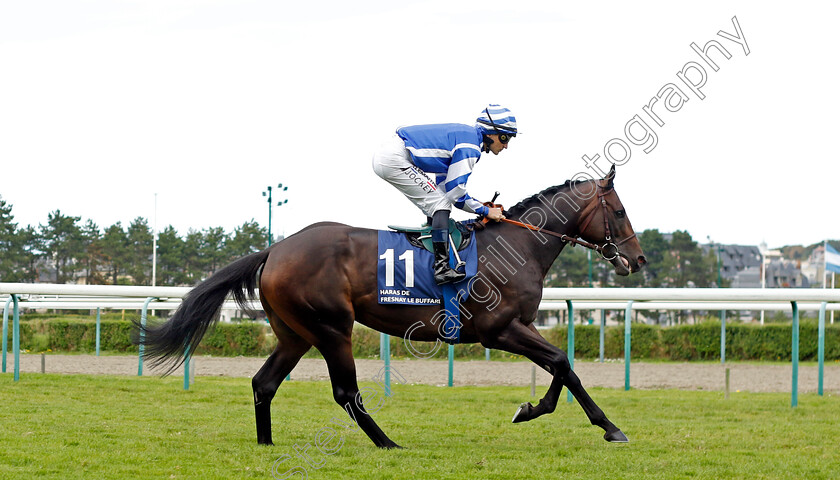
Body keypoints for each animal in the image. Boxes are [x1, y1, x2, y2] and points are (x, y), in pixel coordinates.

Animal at [138, 166, 648, 450]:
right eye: (621, 212)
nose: (638, 260)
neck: (516, 245)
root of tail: (275, 249)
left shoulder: (520, 326)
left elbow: (566, 367)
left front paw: (596, 424)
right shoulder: (499, 329)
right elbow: (560, 361)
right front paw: (552, 414)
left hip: (295, 333)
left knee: (264, 383)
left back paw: (265, 444)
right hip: (331, 329)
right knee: (346, 393)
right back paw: (387, 443)